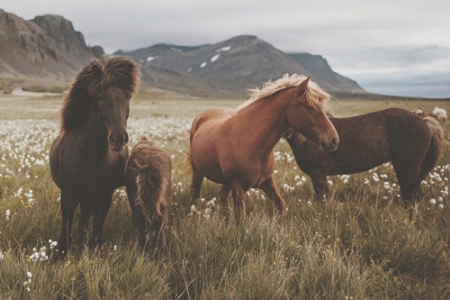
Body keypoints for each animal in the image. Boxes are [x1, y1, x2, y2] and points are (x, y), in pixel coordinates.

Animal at [49, 55, 142, 255]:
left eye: (127, 96)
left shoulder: (104, 195)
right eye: (100, 97)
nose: (118, 138)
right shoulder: (68, 194)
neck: (89, 155)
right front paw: (61, 255)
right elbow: (65, 231)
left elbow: (96, 231)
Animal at [188, 73, 340, 221]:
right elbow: (240, 218)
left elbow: (281, 205)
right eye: (309, 107)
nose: (334, 140)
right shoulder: (238, 186)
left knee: (222, 197)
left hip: (226, 182)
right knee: (195, 192)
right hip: (198, 173)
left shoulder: (266, 181)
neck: (253, 144)